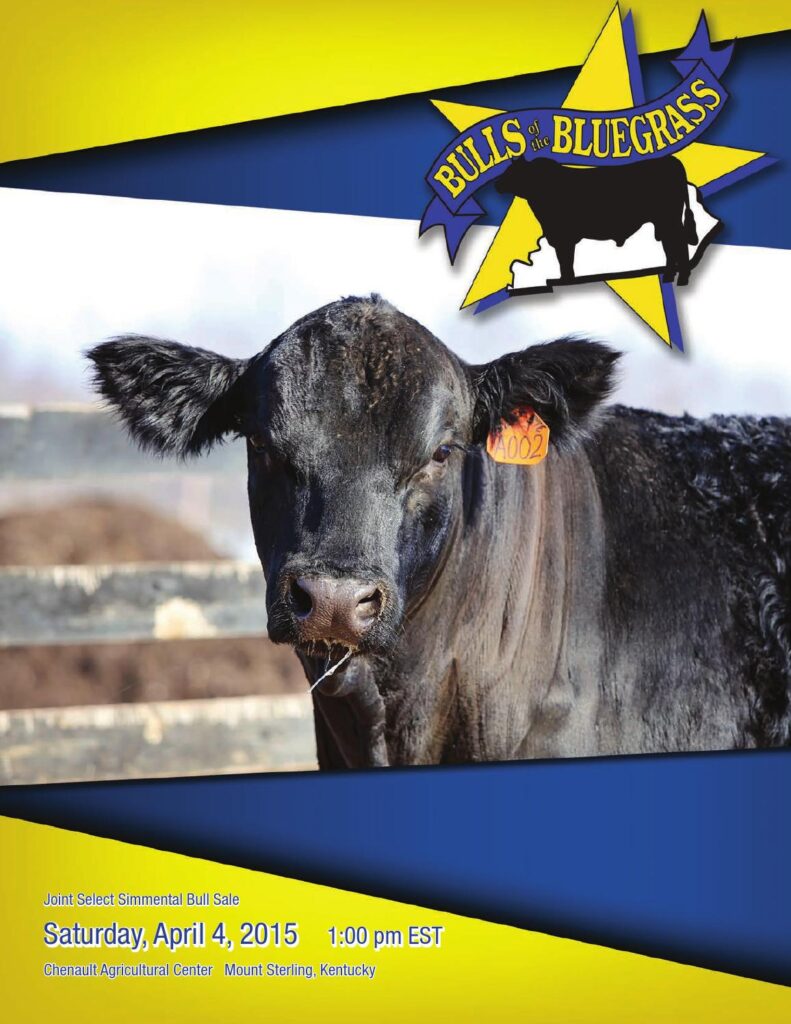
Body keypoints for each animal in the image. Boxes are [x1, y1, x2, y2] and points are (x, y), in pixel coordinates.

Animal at [495, 155, 699, 286]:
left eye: (513, 171)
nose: (497, 184)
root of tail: (672, 161)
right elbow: (566, 261)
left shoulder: (563, 236)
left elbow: (565, 260)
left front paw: (566, 281)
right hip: (663, 221)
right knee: (670, 245)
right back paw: (668, 276)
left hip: (669, 219)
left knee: (678, 244)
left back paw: (682, 278)